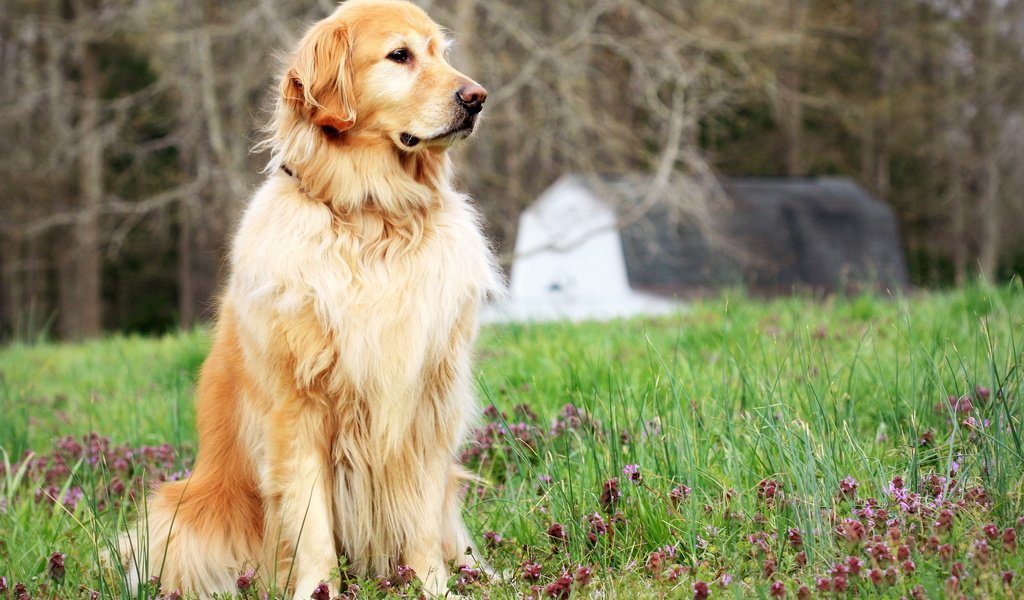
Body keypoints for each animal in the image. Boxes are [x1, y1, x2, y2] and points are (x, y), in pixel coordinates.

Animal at [116, 2, 499, 593]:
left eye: (442, 54)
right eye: (400, 55)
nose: (477, 97)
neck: (372, 217)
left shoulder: (426, 402)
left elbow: (422, 520)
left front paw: (434, 586)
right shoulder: (298, 409)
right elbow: (312, 525)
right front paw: (318, 590)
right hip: (183, 513)